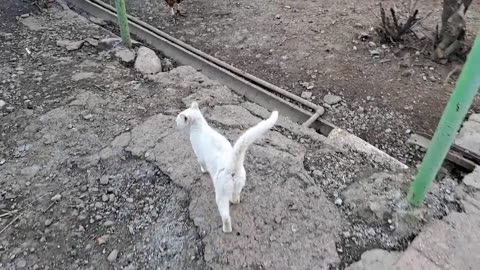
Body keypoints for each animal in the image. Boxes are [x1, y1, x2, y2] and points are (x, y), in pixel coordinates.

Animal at [176, 101, 278, 232]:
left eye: (178, 117)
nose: (175, 121)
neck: (200, 127)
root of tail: (232, 165)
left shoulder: (199, 156)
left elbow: (202, 164)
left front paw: (203, 170)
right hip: (238, 184)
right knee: (235, 196)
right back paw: (235, 200)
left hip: (220, 194)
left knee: (225, 215)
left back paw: (226, 229)